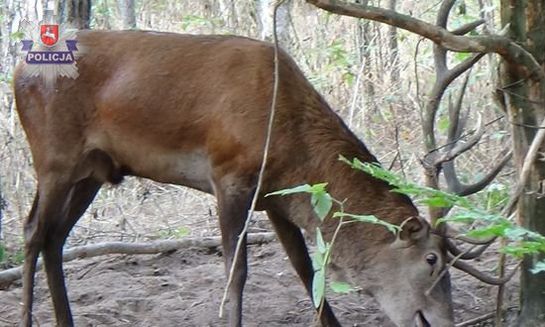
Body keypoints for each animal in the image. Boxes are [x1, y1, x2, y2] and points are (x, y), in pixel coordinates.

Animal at [12, 29, 454, 326]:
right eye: (431, 259)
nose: (445, 320)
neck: (290, 146)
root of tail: (18, 68)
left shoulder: (275, 196)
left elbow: (306, 270)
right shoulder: (228, 175)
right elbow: (236, 273)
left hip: (92, 170)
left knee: (55, 237)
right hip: (54, 156)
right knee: (33, 230)